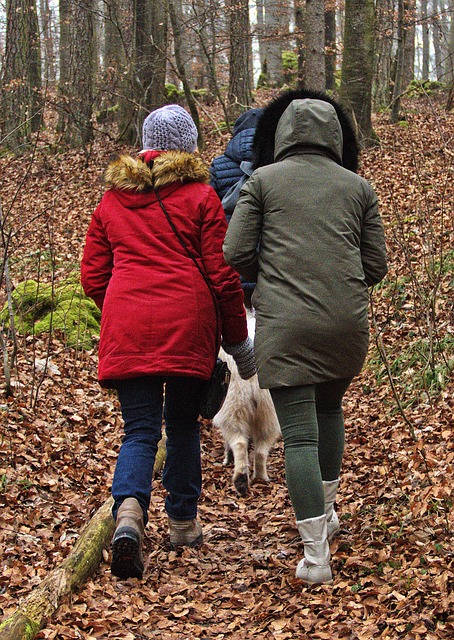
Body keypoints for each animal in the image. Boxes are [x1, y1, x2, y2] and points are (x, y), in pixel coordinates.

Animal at [213, 310, 280, 496]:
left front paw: (227, 458)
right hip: (269, 413)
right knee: (261, 449)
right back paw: (261, 477)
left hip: (233, 406)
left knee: (239, 443)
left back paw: (241, 480)